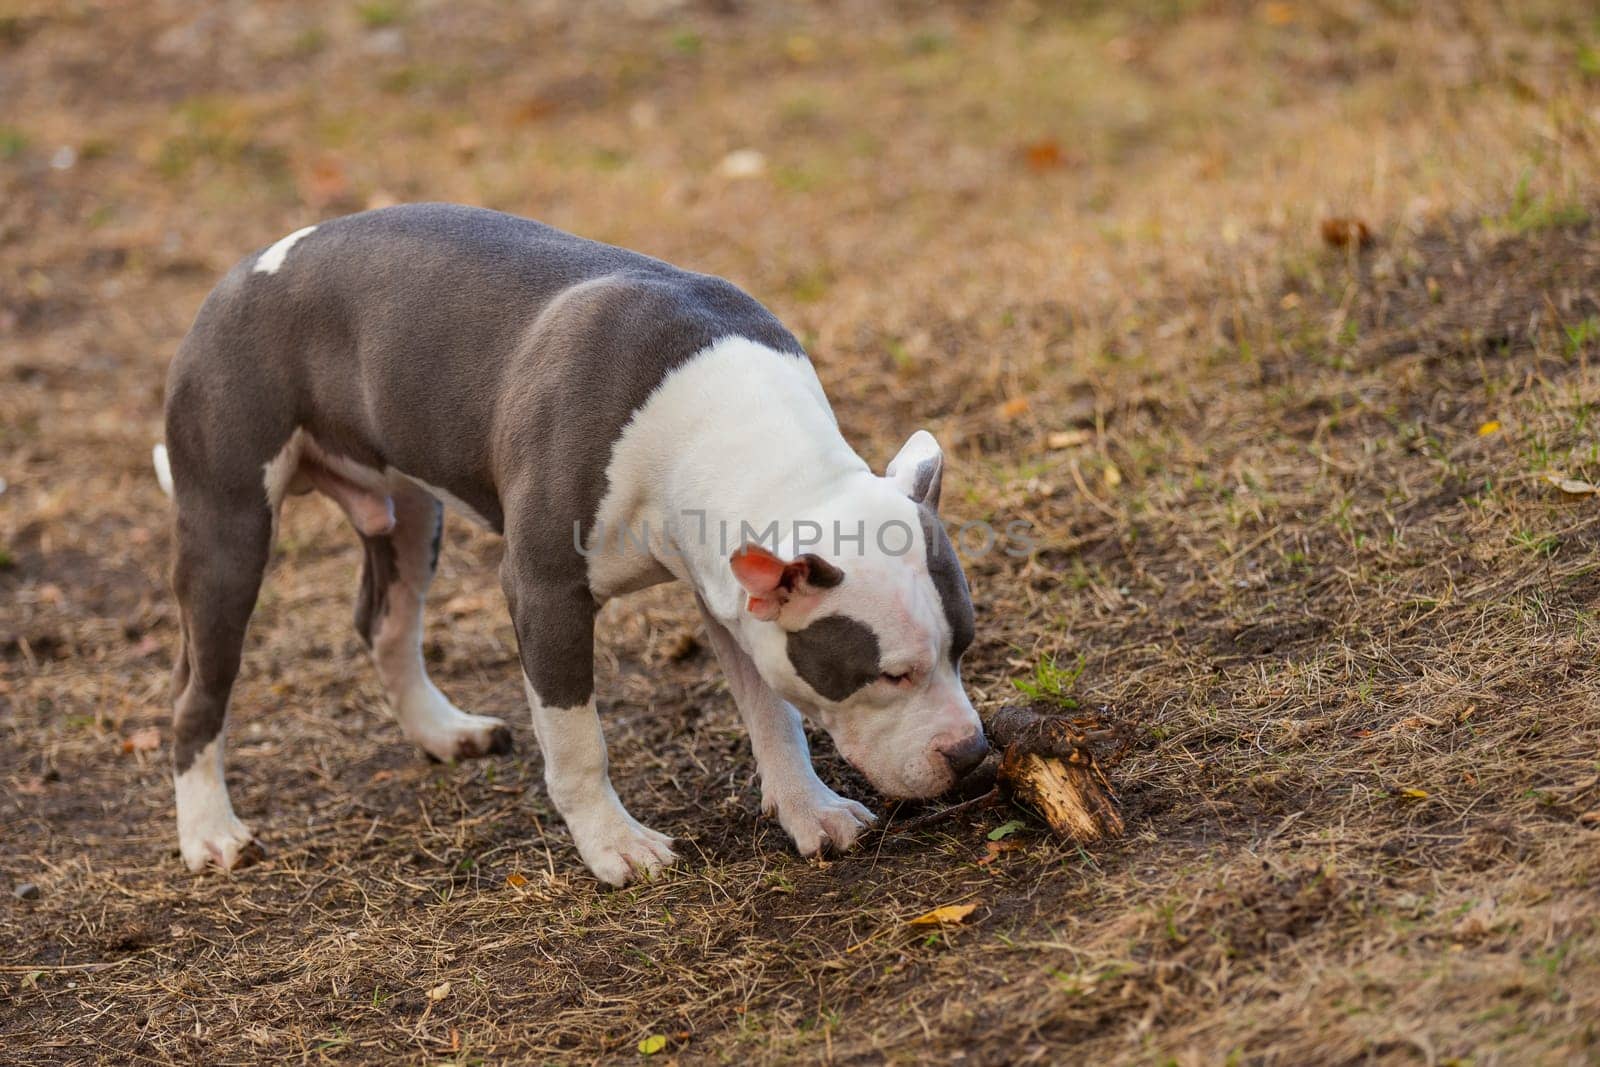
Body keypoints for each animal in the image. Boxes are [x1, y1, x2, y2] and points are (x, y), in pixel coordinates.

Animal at [159, 204, 985, 889]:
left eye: (964, 649)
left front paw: (811, 811)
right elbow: (577, 738)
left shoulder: (729, 595)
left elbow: (774, 715)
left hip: (408, 512)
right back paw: (211, 832)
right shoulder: (546, 591)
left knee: (385, 623)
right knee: (200, 687)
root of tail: (239, 272)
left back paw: (442, 732)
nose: (972, 753)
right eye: (890, 674)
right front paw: (615, 845)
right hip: (228, 528)